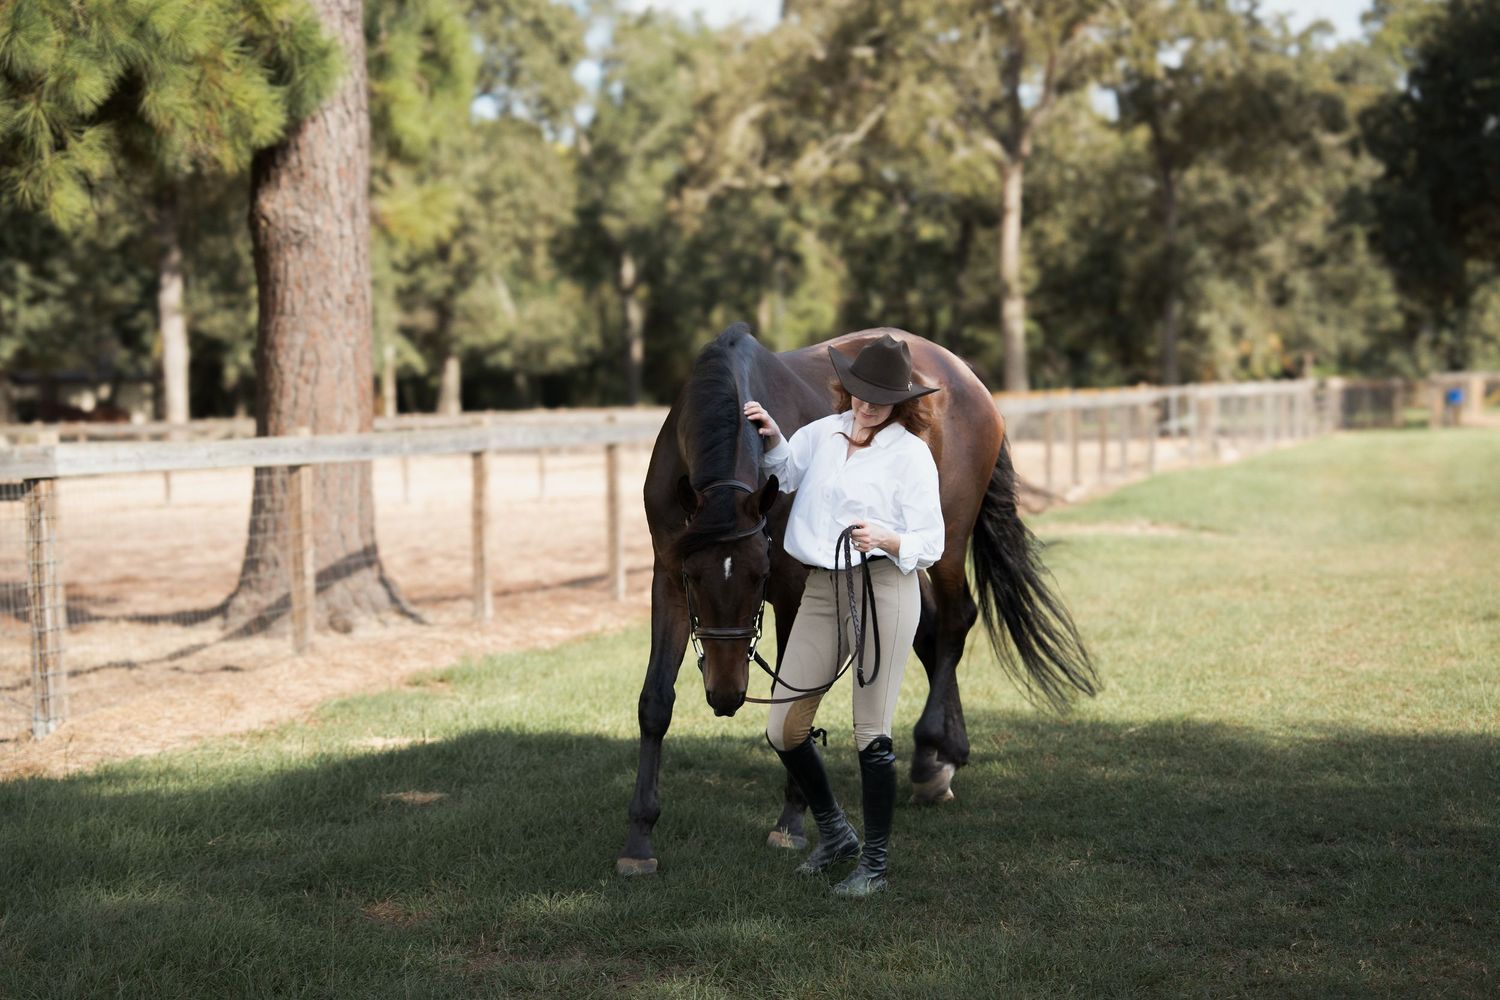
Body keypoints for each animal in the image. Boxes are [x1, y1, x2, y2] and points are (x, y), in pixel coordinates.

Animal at [617, 323, 1095, 875]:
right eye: (696, 578)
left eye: (760, 576)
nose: (725, 693)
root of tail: (965, 376)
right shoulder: (667, 577)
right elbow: (655, 702)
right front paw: (639, 839)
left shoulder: (793, 588)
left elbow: (792, 700)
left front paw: (791, 820)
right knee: (929, 632)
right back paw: (946, 757)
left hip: (946, 539)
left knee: (955, 621)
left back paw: (929, 760)